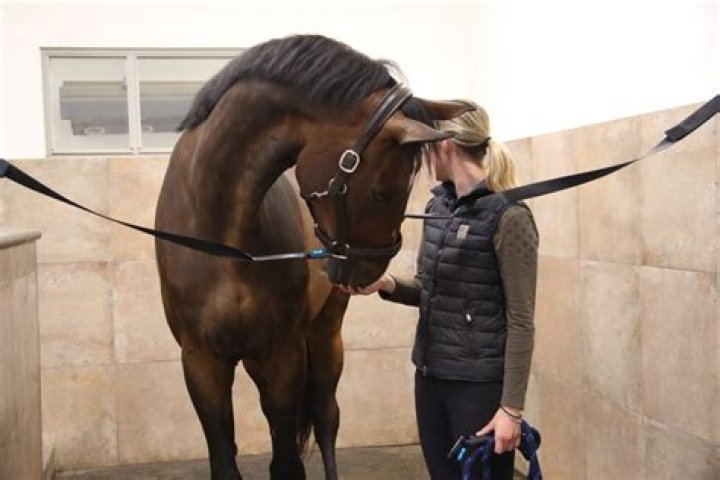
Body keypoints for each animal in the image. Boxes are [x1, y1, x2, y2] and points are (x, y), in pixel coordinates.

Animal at [154, 34, 469, 480]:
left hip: (323, 336)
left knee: (325, 417)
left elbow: (287, 458)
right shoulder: (201, 362)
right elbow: (226, 458)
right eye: (383, 192)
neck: (222, 237)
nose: (368, 271)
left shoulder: (283, 355)